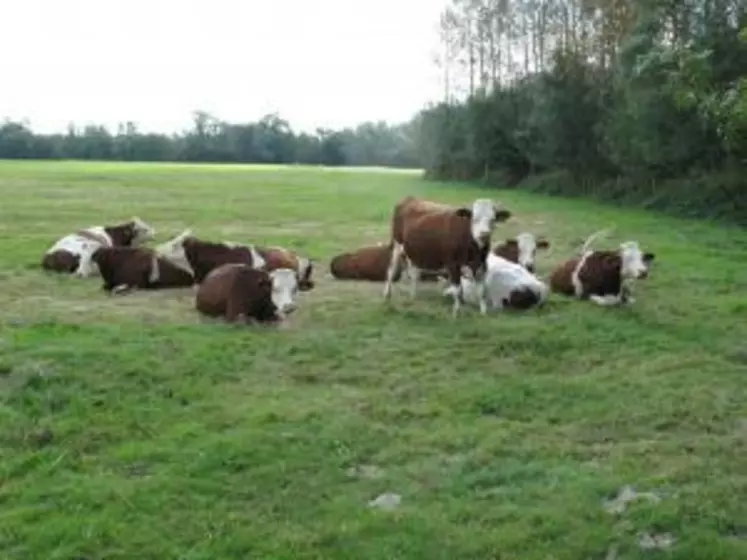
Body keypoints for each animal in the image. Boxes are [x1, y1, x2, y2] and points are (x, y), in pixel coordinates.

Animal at [382, 196, 512, 318]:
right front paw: (456, 313)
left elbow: (482, 290)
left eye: (492, 220)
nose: (484, 234)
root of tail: (410, 198)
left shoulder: (482, 264)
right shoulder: (453, 264)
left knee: (414, 272)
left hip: (413, 250)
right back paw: (387, 294)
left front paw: (483, 313)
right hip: (397, 243)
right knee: (391, 270)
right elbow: (457, 289)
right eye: (474, 219)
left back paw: (412, 295)